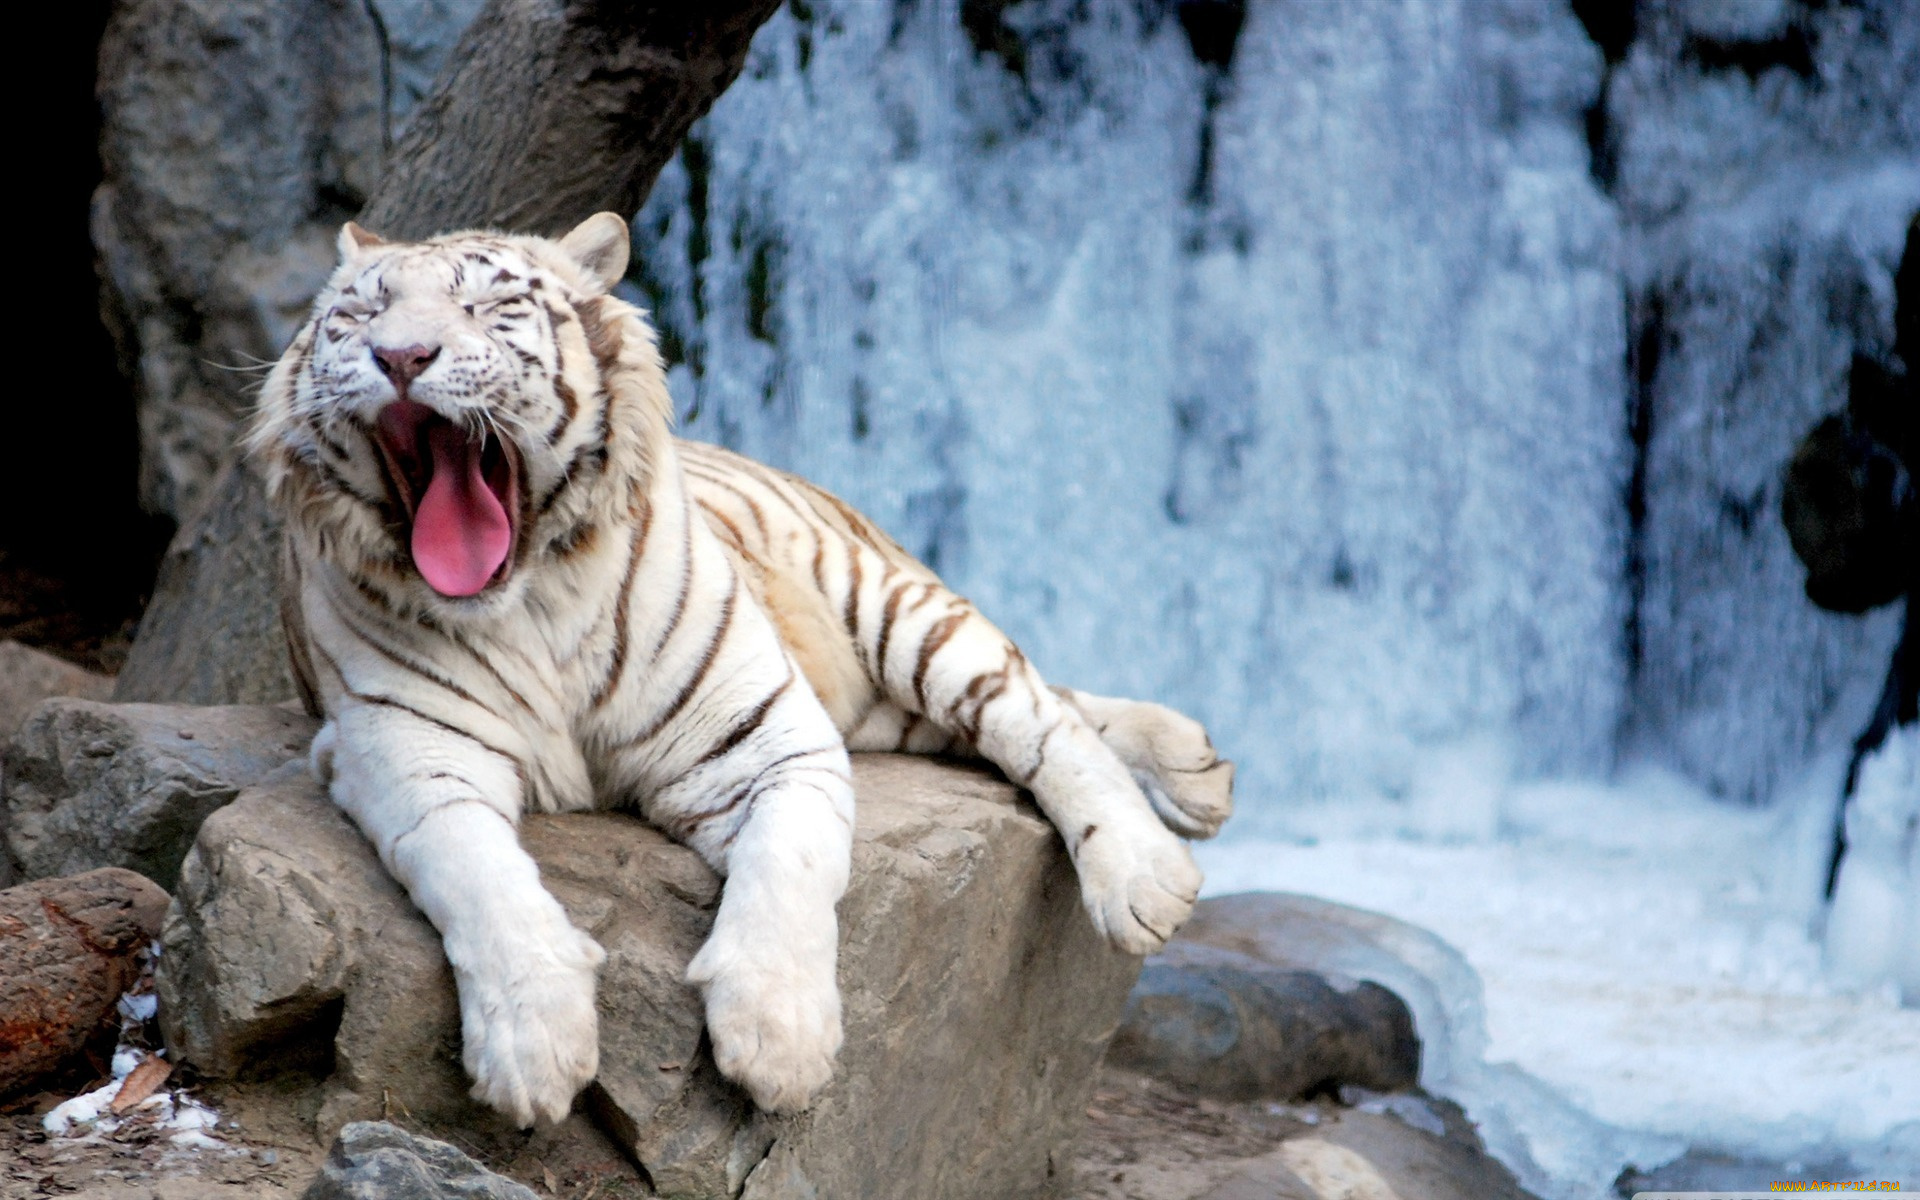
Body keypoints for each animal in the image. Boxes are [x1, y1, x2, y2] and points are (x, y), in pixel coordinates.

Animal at [247, 212, 1234, 1127]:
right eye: (360, 313)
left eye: (486, 306)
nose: (400, 355)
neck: (527, 601)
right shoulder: (406, 754)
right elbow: (479, 876)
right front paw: (534, 1049)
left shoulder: (766, 735)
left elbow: (790, 866)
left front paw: (779, 1041)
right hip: (884, 708)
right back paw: (1197, 765)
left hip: (893, 611)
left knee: (1037, 712)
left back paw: (1150, 868)